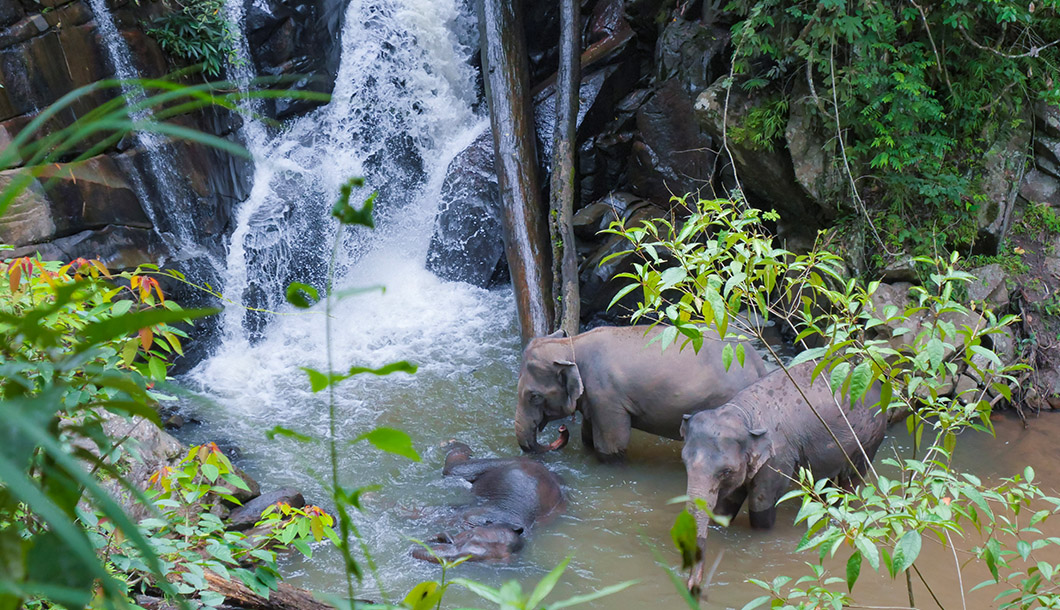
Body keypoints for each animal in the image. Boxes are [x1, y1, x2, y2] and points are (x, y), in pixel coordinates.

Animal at [515, 325, 768, 460]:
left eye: (534, 396)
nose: (562, 429)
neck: (571, 344)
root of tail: (758, 364)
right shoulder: (594, 399)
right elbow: (588, 437)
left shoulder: (607, 397)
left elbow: (611, 446)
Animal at [680, 360, 887, 593]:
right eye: (684, 462)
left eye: (726, 471)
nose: (692, 586)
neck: (745, 415)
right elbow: (727, 506)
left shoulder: (778, 457)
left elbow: (761, 507)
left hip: (869, 440)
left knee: (850, 482)